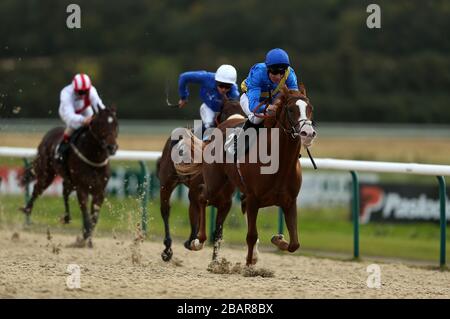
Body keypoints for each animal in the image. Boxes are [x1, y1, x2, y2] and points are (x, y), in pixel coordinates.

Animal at [20, 107, 118, 248]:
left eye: (116, 124)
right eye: (100, 124)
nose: (112, 147)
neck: (94, 157)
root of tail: (49, 133)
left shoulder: (99, 191)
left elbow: (94, 217)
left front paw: (87, 238)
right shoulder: (82, 188)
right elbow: (86, 215)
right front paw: (84, 238)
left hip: (69, 181)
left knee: (64, 192)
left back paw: (67, 217)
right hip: (47, 173)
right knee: (37, 189)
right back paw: (27, 208)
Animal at [156, 100, 244, 262]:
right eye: (225, 114)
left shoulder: (225, 203)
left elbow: (218, 233)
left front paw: (215, 261)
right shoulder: (194, 195)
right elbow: (194, 223)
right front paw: (192, 242)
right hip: (167, 182)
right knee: (165, 210)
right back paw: (167, 249)